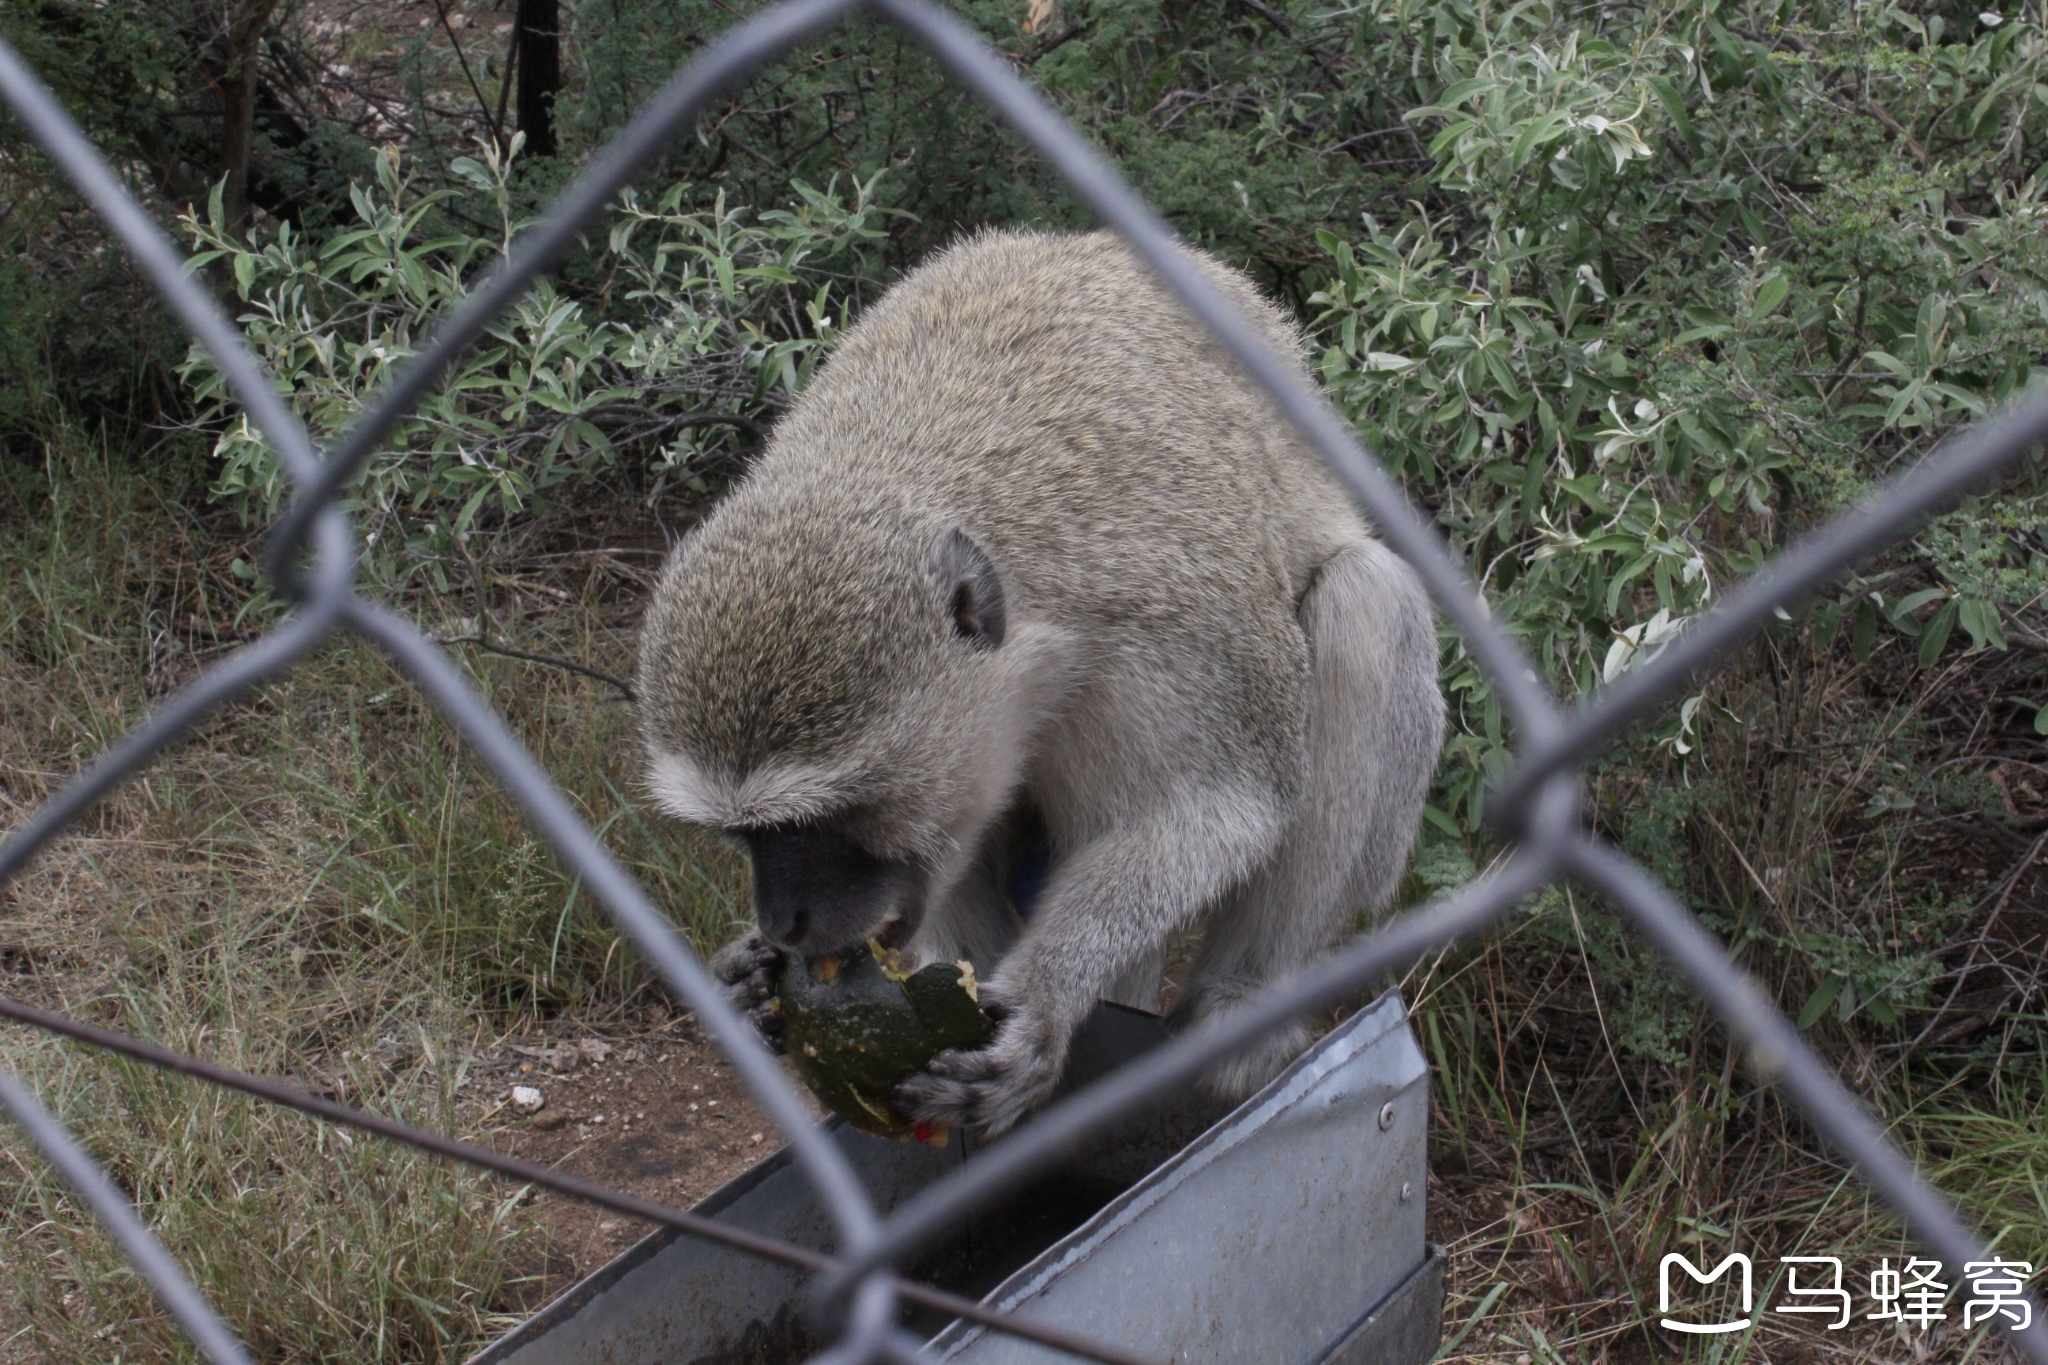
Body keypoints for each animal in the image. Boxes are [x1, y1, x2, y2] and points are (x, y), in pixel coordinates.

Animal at [634, 229, 1441, 1137]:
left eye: (833, 819)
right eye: (749, 836)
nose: (786, 921)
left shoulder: (1177, 632)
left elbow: (1222, 804)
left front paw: (1042, 1000)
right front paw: (751, 976)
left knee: (1367, 599)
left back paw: (1239, 1016)